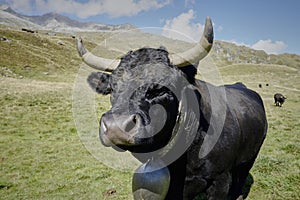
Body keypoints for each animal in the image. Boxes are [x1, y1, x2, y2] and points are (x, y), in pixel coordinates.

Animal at [75, 17, 268, 200]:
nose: (116, 127)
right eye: (112, 87)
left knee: (240, 178)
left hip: (250, 157)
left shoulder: (220, 180)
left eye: (160, 89)